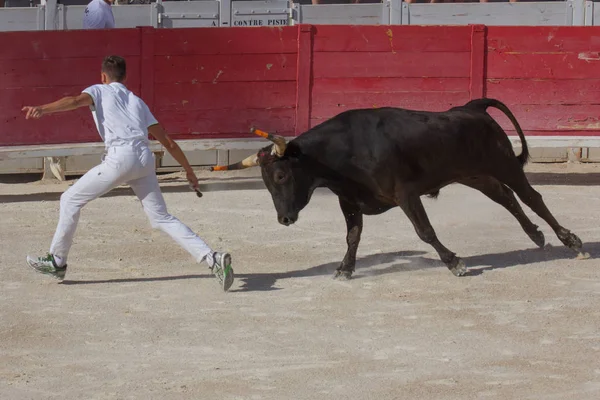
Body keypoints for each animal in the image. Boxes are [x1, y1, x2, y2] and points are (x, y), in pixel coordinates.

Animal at [207, 98, 584, 276]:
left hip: (503, 163)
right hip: (475, 176)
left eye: (281, 177)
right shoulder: (350, 201)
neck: (340, 154)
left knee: (531, 197)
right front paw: (345, 269)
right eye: (265, 182)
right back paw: (537, 237)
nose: (284, 219)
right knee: (506, 198)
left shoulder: (405, 194)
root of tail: (471, 107)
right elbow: (353, 235)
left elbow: (425, 231)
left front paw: (455, 263)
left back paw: (572, 241)